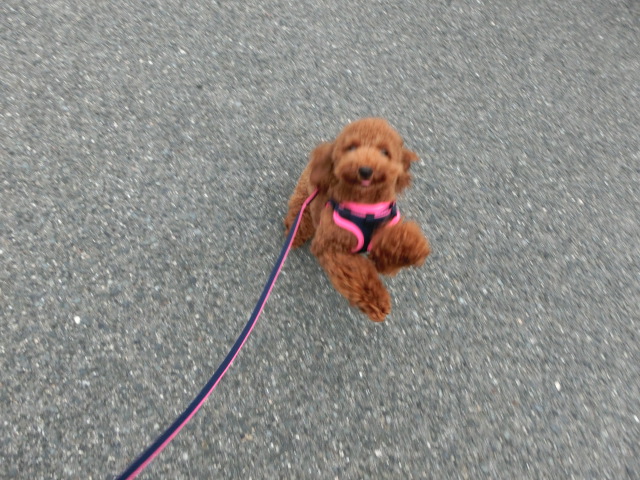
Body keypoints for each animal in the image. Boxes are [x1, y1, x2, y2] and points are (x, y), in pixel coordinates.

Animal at [284, 118, 431, 321]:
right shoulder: (330, 247)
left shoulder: (387, 225)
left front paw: (404, 255)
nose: (366, 170)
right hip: (305, 194)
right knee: (299, 213)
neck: (364, 206)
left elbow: (401, 240)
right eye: (351, 148)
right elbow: (358, 274)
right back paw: (294, 234)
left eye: (385, 152)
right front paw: (376, 302)